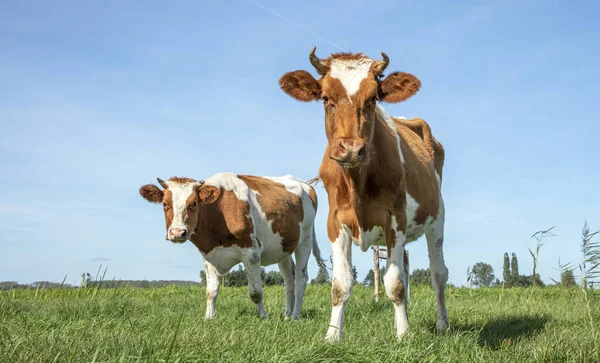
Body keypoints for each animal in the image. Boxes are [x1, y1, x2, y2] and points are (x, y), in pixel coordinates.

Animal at [137, 173, 324, 322]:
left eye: (194, 203)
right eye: (164, 204)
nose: (177, 232)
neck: (218, 213)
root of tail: (305, 184)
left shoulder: (251, 253)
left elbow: (255, 292)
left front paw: (263, 317)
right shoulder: (209, 255)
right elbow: (211, 291)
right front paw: (208, 318)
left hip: (305, 240)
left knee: (301, 278)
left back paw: (295, 316)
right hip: (283, 247)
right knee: (289, 279)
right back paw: (286, 315)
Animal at [278, 47, 448, 342]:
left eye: (373, 99)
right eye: (325, 97)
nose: (350, 149)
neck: (357, 180)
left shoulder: (396, 220)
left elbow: (395, 284)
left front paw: (403, 334)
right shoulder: (335, 222)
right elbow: (341, 285)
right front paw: (333, 335)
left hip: (437, 218)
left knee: (438, 273)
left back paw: (442, 324)